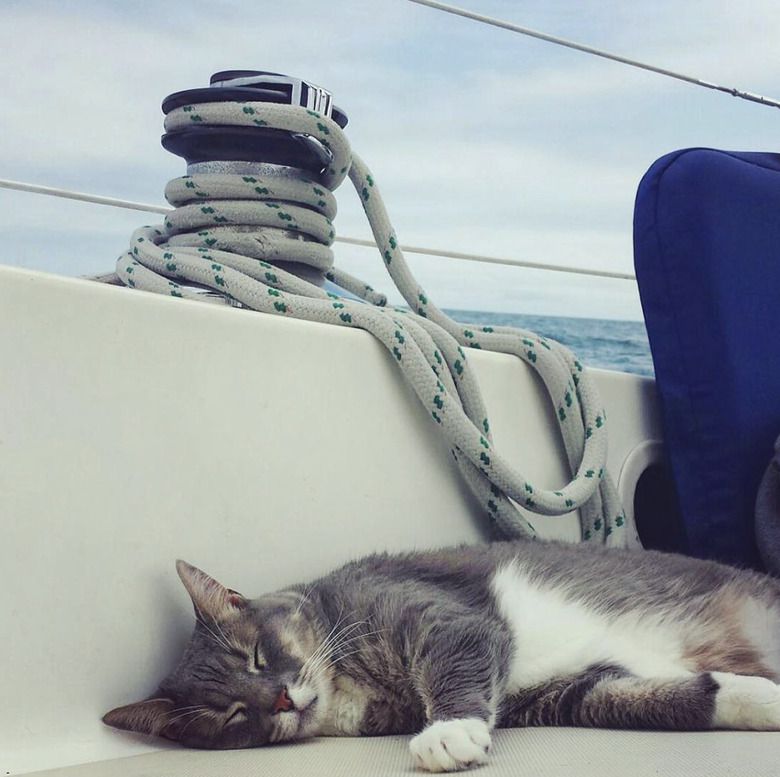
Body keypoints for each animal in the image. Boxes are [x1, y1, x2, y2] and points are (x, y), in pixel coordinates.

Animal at [102, 540, 780, 768]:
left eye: (257, 658)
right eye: (230, 716)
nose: (280, 699)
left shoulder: (444, 618)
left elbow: (453, 660)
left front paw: (448, 730)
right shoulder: (567, 692)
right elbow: (654, 700)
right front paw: (757, 699)